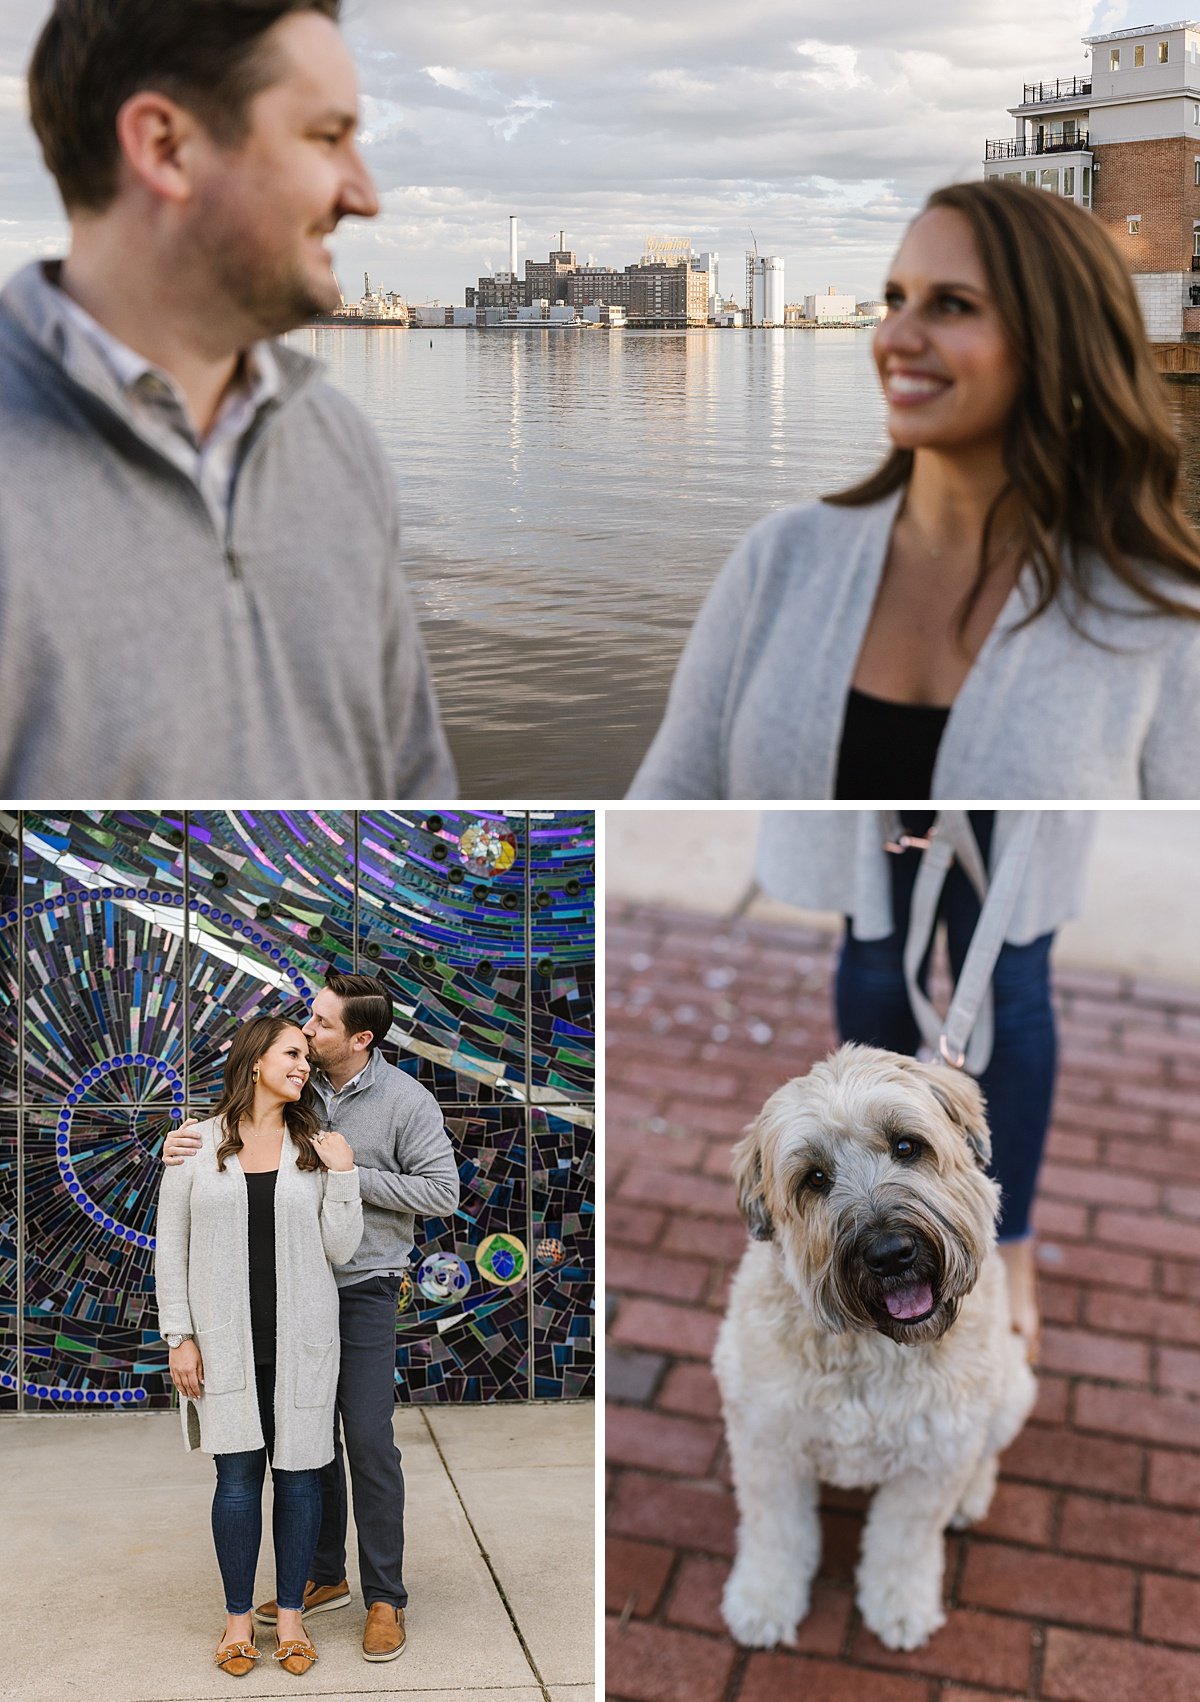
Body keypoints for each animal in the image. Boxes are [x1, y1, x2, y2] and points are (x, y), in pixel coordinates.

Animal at [714, 1041, 1034, 1654]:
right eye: (814, 1179)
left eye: (907, 1146)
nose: (890, 1253)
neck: (871, 1347)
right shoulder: (770, 1446)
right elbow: (776, 1533)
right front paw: (765, 1603)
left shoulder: (932, 1461)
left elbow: (904, 1546)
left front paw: (901, 1609)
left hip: (1010, 1393)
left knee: (986, 1453)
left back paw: (970, 1497)